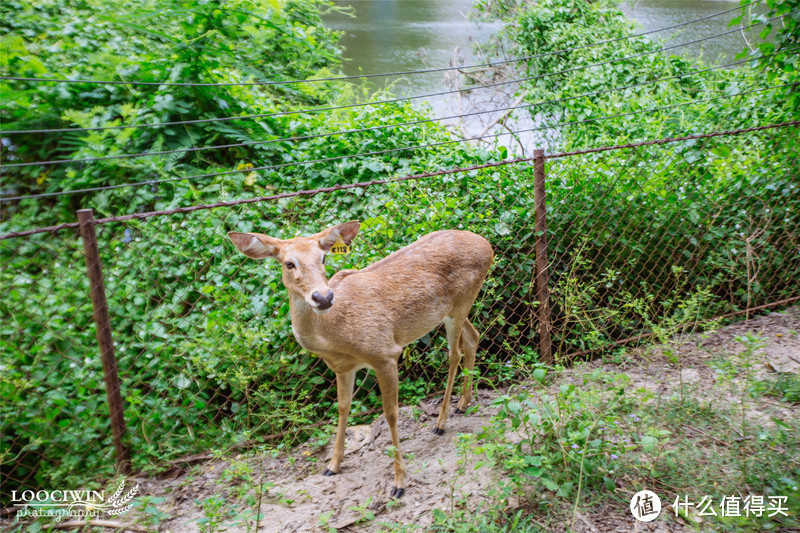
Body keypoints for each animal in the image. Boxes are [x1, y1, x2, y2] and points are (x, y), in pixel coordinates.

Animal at [227, 222, 494, 496]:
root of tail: (486, 244)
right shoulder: (342, 368)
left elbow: (391, 413)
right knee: (473, 336)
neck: (334, 336)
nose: (323, 297)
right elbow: (343, 407)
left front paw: (399, 483)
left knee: (454, 353)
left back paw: (441, 422)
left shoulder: (385, 353)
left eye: (323, 258)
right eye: (289, 263)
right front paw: (332, 466)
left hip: (461, 301)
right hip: (455, 309)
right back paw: (463, 403)